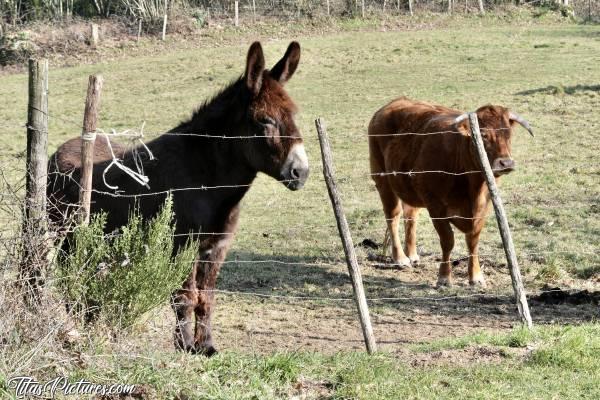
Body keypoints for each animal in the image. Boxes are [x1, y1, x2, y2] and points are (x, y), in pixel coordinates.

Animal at [368, 99, 532, 290]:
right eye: (483, 135)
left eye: (508, 133)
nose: (506, 163)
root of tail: (393, 104)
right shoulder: (436, 207)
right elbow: (448, 241)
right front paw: (444, 277)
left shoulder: (484, 207)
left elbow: (473, 241)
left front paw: (476, 276)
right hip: (383, 180)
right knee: (393, 217)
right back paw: (400, 258)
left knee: (410, 216)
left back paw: (412, 254)